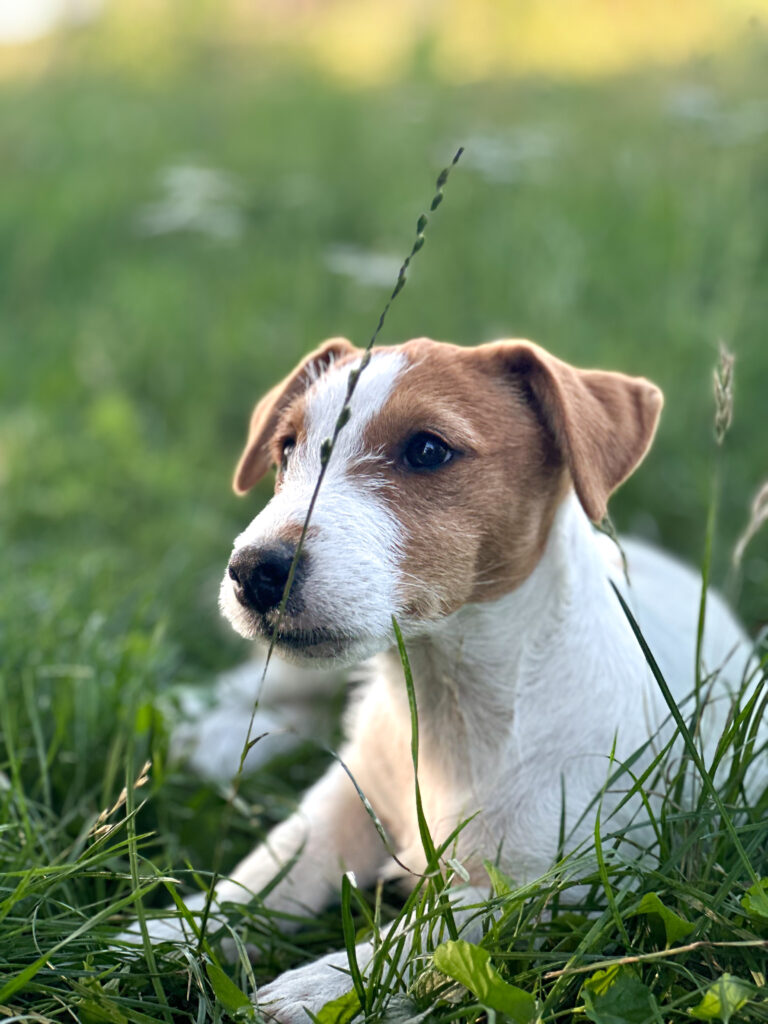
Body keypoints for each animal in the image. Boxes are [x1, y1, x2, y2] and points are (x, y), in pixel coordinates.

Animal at [132, 337, 757, 1024]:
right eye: (287, 448)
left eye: (428, 450)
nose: (253, 571)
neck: (443, 698)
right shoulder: (342, 804)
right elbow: (270, 868)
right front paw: (171, 930)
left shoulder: (567, 883)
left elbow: (436, 928)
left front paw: (319, 986)